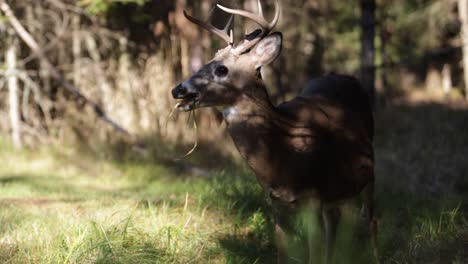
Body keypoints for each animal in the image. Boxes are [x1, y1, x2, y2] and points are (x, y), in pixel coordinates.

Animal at [170, 1, 378, 262]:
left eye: (222, 70)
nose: (177, 89)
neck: (282, 156)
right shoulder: (275, 201)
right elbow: (282, 250)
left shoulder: (313, 196)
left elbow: (314, 251)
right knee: (336, 221)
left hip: (368, 171)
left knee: (370, 219)